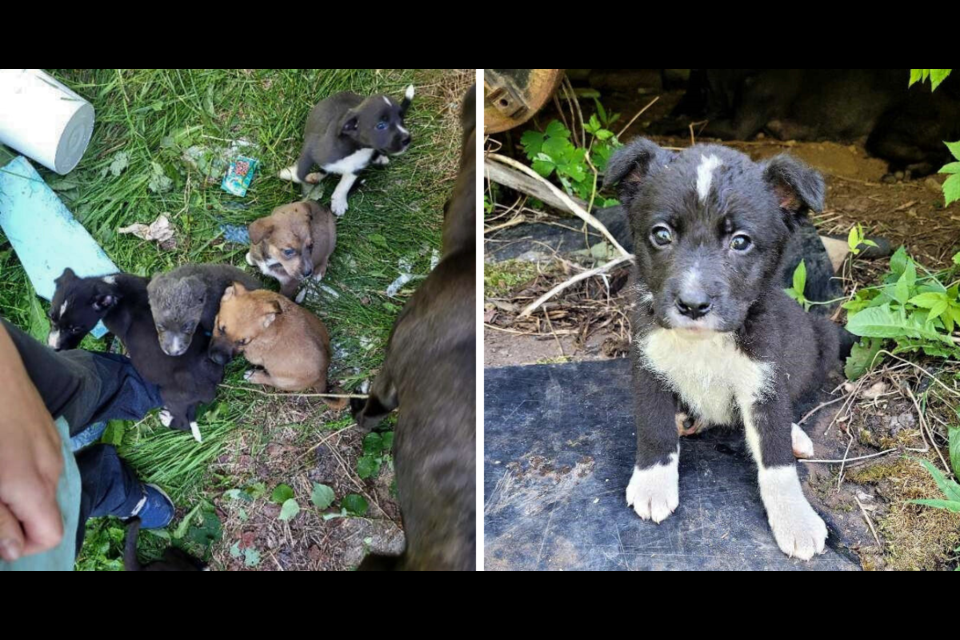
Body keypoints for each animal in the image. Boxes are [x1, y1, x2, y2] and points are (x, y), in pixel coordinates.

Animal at [49, 268, 224, 442]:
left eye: (75, 328)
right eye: (51, 317)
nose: (52, 348)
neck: (112, 288)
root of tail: (210, 386)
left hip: (171, 395)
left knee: (183, 423)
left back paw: (167, 419)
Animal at [208, 284, 346, 410]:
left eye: (243, 342)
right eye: (220, 328)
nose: (217, 360)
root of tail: (323, 376)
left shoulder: (254, 354)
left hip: (283, 379)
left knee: (272, 381)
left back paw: (254, 376)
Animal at [276, 85, 414, 216]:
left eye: (401, 119)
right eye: (381, 125)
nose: (407, 139)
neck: (355, 148)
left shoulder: (355, 168)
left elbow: (344, 186)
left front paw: (338, 202)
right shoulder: (310, 149)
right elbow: (300, 173)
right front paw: (290, 174)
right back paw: (315, 176)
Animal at [604, 136, 844, 560]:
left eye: (740, 242)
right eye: (661, 234)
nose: (693, 304)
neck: (704, 343)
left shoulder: (764, 380)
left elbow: (776, 458)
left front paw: (795, 519)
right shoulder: (647, 364)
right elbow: (653, 428)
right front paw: (653, 484)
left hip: (825, 339)